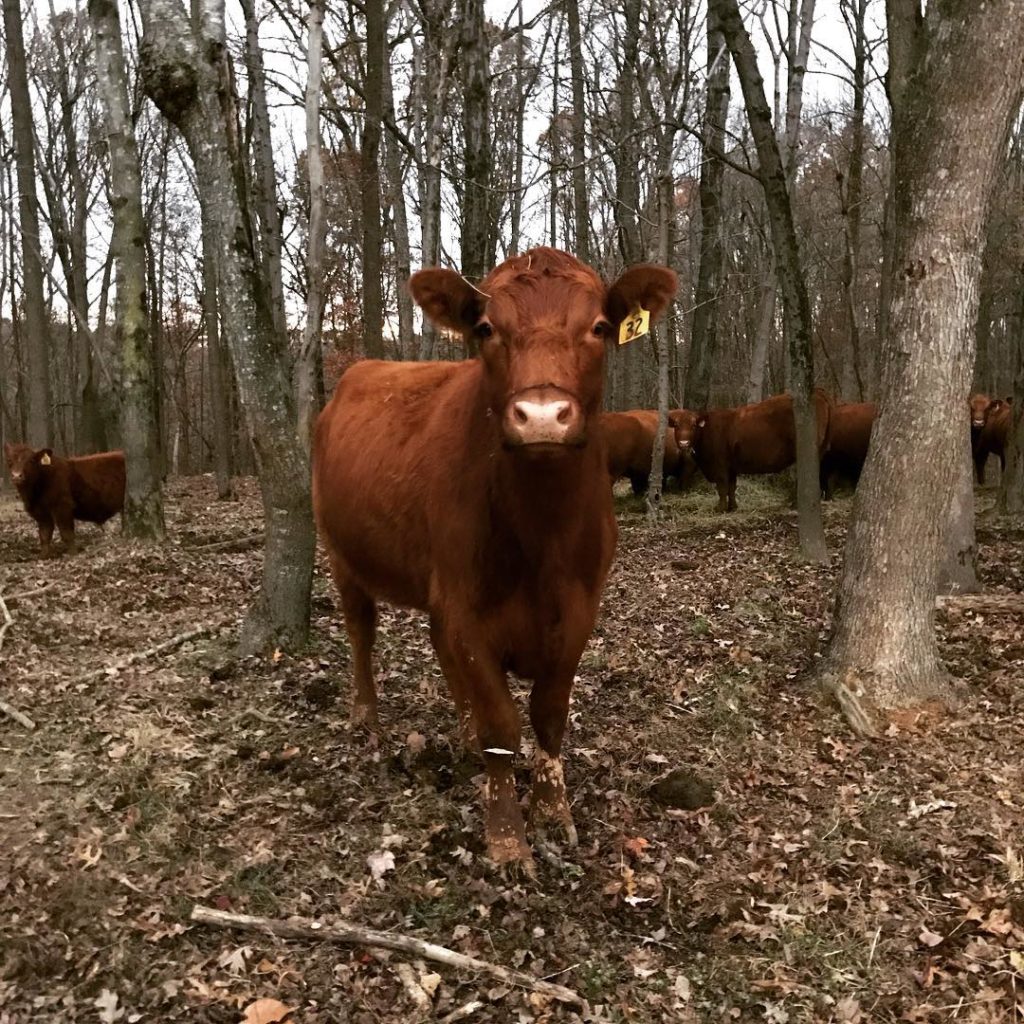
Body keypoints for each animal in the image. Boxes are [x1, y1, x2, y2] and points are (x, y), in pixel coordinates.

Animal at [311, 245, 679, 864]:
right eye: (486, 329)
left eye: (599, 327)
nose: (541, 416)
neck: (542, 537)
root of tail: (356, 373)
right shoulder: (468, 611)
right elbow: (501, 728)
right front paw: (507, 840)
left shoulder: (579, 611)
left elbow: (548, 717)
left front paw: (553, 813)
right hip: (342, 553)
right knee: (361, 630)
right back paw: (366, 718)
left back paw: (458, 734)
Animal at [671, 387, 831, 512]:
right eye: (677, 425)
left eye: (693, 425)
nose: (684, 443)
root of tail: (817, 392)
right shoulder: (731, 467)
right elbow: (731, 488)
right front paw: (732, 507)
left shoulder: (720, 466)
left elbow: (722, 488)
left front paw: (720, 508)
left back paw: (795, 503)